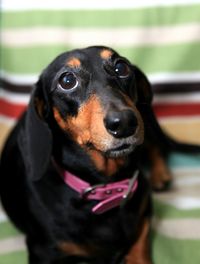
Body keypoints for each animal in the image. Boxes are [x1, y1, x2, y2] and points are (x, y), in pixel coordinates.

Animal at [1, 46, 198, 262]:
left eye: (122, 67)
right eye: (67, 81)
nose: (124, 122)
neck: (105, 188)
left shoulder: (145, 214)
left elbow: (140, 244)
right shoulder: (43, 251)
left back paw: (160, 175)